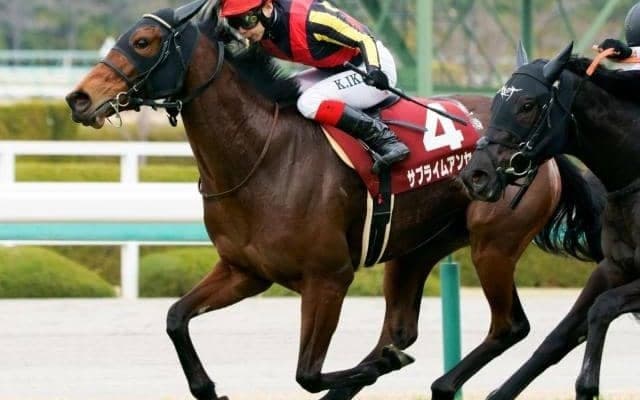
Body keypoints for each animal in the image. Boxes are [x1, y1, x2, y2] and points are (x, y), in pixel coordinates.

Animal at [65, 2, 604, 399]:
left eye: (143, 42)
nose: (78, 99)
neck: (262, 156)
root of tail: (544, 151)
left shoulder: (328, 278)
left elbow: (307, 373)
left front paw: (367, 370)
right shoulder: (245, 271)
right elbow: (176, 318)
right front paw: (207, 387)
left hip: (493, 245)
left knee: (510, 326)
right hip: (414, 250)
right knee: (402, 329)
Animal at [461, 42, 640, 400]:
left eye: (527, 105)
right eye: (497, 100)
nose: (476, 175)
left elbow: (602, 307)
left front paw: (587, 385)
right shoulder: (613, 267)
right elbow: (558, 337)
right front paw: (500, 392)